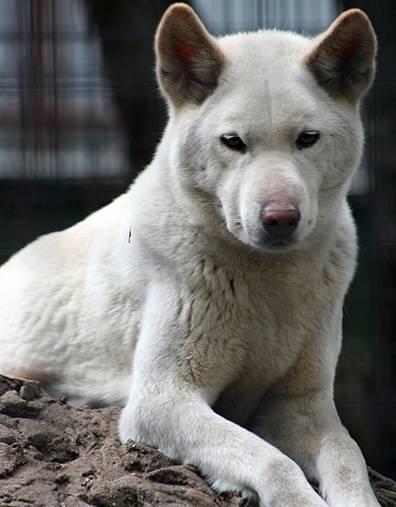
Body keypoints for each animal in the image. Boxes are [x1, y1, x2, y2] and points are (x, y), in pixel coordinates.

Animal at [0, 4, 378, 507]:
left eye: (307, 139)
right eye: (233, 142)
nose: (280, 218)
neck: (269, 282)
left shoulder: (302, 406)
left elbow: (349, 458)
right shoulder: (160, 399)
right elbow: (274, 462)